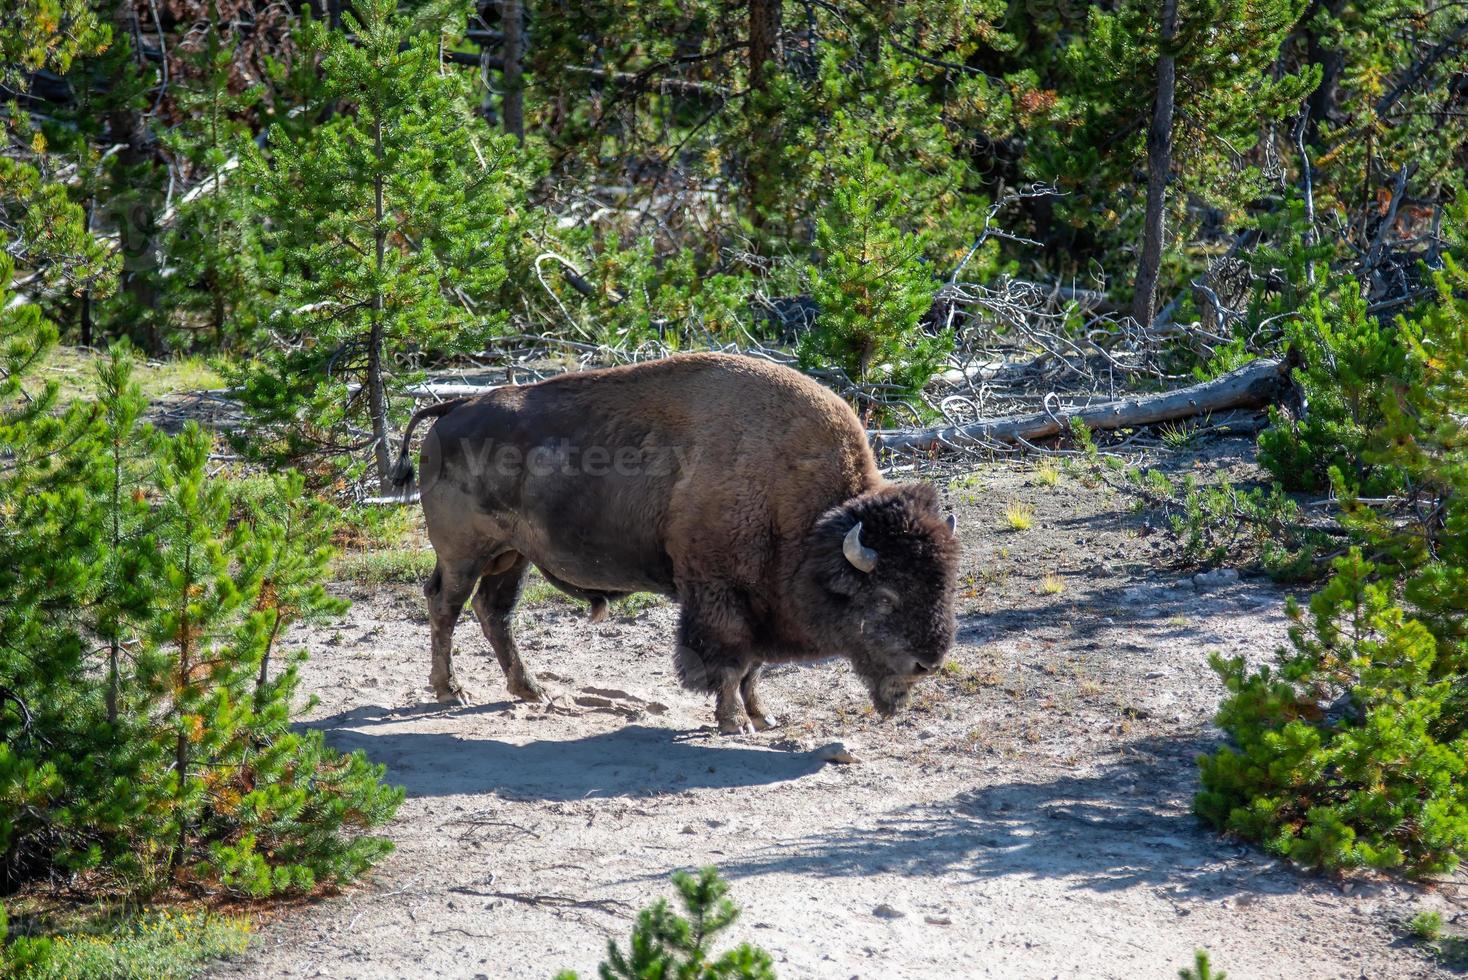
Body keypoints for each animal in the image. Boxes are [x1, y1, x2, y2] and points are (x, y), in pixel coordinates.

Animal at [390, 350, 963, 727]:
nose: (927, 664)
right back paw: (452, 693)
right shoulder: (718, 594)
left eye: (945, 586)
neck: (805, 512)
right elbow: (729, 661)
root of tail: (451, 410)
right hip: (466, 552)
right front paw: (734, 722)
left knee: (493, 612)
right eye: (884, 596)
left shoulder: (757, 601)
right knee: (445, 605)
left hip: (513, 556)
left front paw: (763, 717)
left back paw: (529, 690)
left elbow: (752, 668)